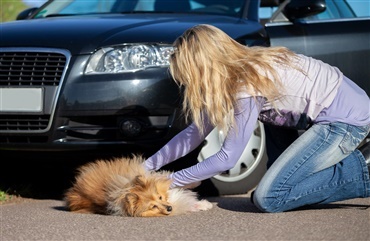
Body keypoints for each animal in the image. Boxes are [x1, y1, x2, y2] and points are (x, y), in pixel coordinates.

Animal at [65, 155, 212, 217]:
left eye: (159, 197)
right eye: (153, 206)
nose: (169, 208)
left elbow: (165, 177)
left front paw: (196, 183)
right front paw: (203, 204)